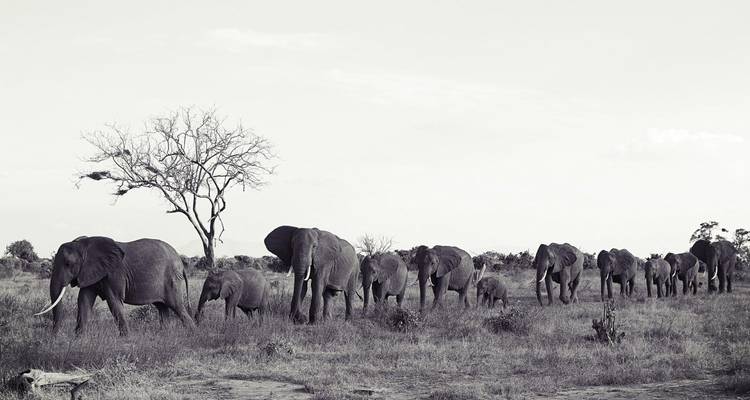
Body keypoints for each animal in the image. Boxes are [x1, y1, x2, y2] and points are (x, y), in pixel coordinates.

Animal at [34, 236, 195, 336]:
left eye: (68, 263)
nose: (54, 336)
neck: (85, 244)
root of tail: (181, 262)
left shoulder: (114, 273)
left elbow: (114, 301)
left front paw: (126, 340)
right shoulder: (90, 271)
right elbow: (84, 301)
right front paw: (78, 339)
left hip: (172, 279)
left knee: (177, 306)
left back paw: (192, 334)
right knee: (162, 308)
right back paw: (164, 336)